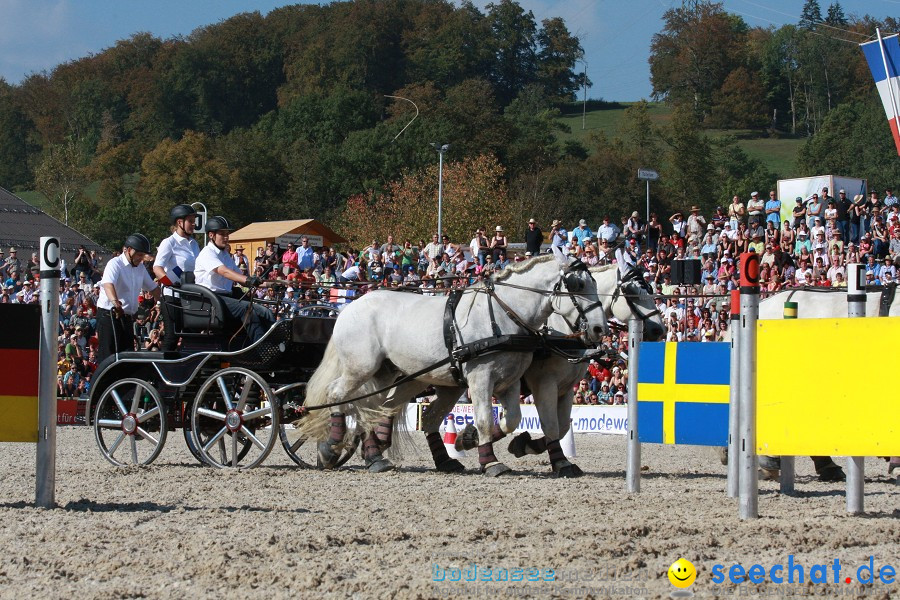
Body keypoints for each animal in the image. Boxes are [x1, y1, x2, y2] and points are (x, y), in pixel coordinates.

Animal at [298, 255, 608, 476]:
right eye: (578, 285)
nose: (599, 329)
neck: (505, 315)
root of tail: (349, 307)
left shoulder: (509, 382)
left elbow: (512, 420)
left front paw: (468, 440)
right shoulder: (485, 379)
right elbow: (486, 420)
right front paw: (490, 462)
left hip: (388, 374)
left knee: (375, 410)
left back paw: (377, 456)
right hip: (360, 369)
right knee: (338, 395)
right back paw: (332, 448)